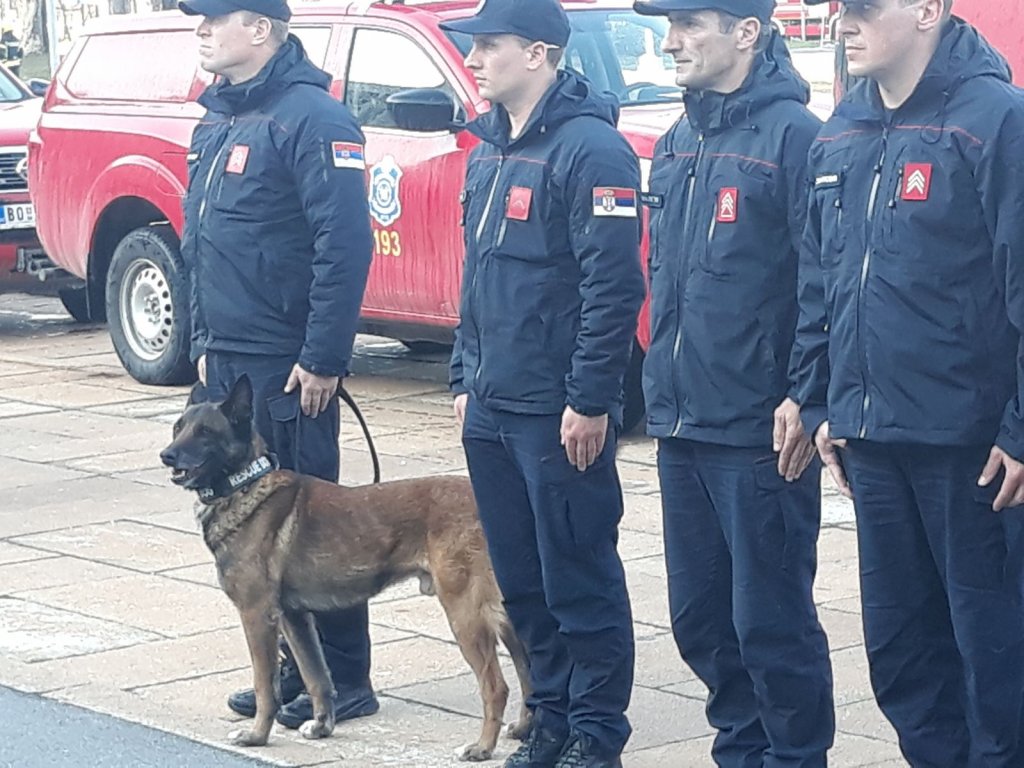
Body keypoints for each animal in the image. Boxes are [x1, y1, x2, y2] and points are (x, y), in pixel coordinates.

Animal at [159, 375, 532, 760]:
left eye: (205, 431)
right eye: (178, 427)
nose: (166, 455)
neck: (244, 483)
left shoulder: (257, 615)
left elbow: (266, 686)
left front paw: (257, 735)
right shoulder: (295, 618)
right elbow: (317, 677)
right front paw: (322, 726)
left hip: (465, 614)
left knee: (496, 686)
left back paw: (482, 747)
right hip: (503, 615)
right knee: (528, 671)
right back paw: (523, 729)